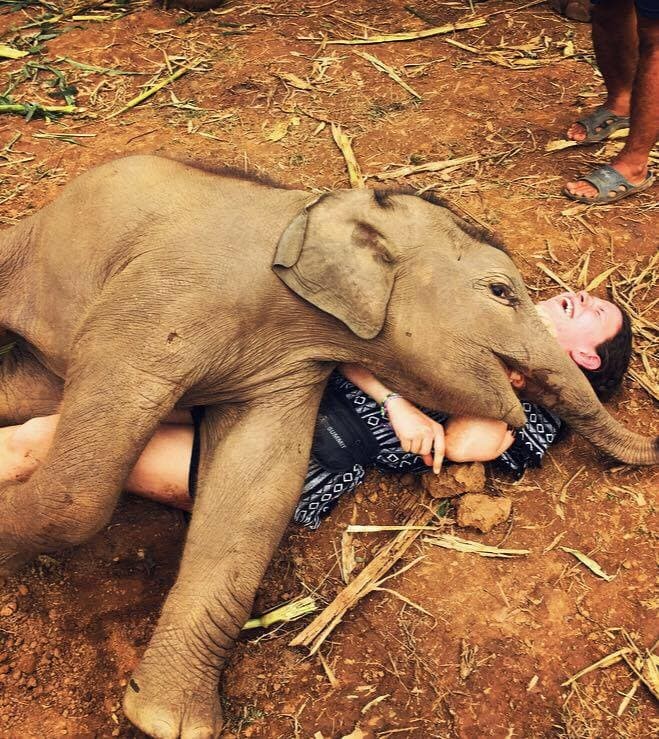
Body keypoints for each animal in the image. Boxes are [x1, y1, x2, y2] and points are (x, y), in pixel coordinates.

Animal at [0, 153, 656, 736]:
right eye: (500, 292)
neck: (308, 214)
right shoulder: (162, 296)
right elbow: (83, 488)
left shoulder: (285, 368)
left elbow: (258, 486)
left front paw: (166, 721)